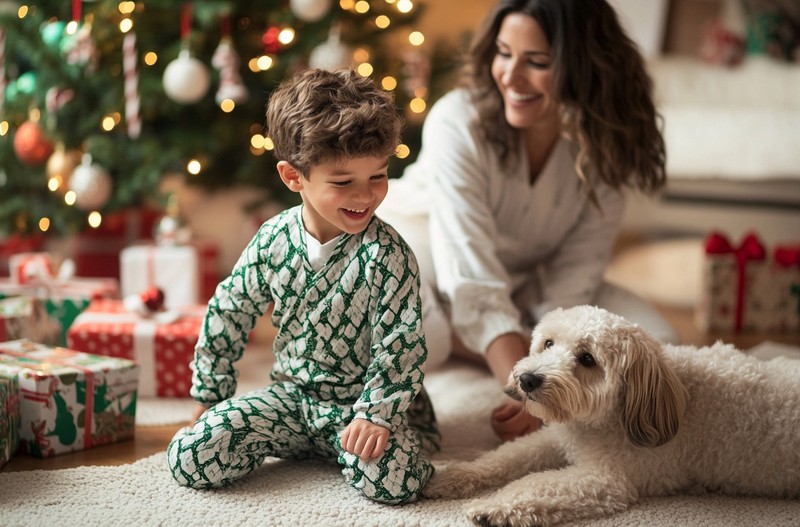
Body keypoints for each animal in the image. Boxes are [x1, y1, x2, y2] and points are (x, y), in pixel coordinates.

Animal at [424, 306, 800, 527]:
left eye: (587, 359)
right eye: (548, 343)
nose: (528, 379)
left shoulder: (607, 480)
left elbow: (535, 484)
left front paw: (494, 507)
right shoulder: (555, 440)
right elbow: (505, 458)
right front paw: (454, 475)